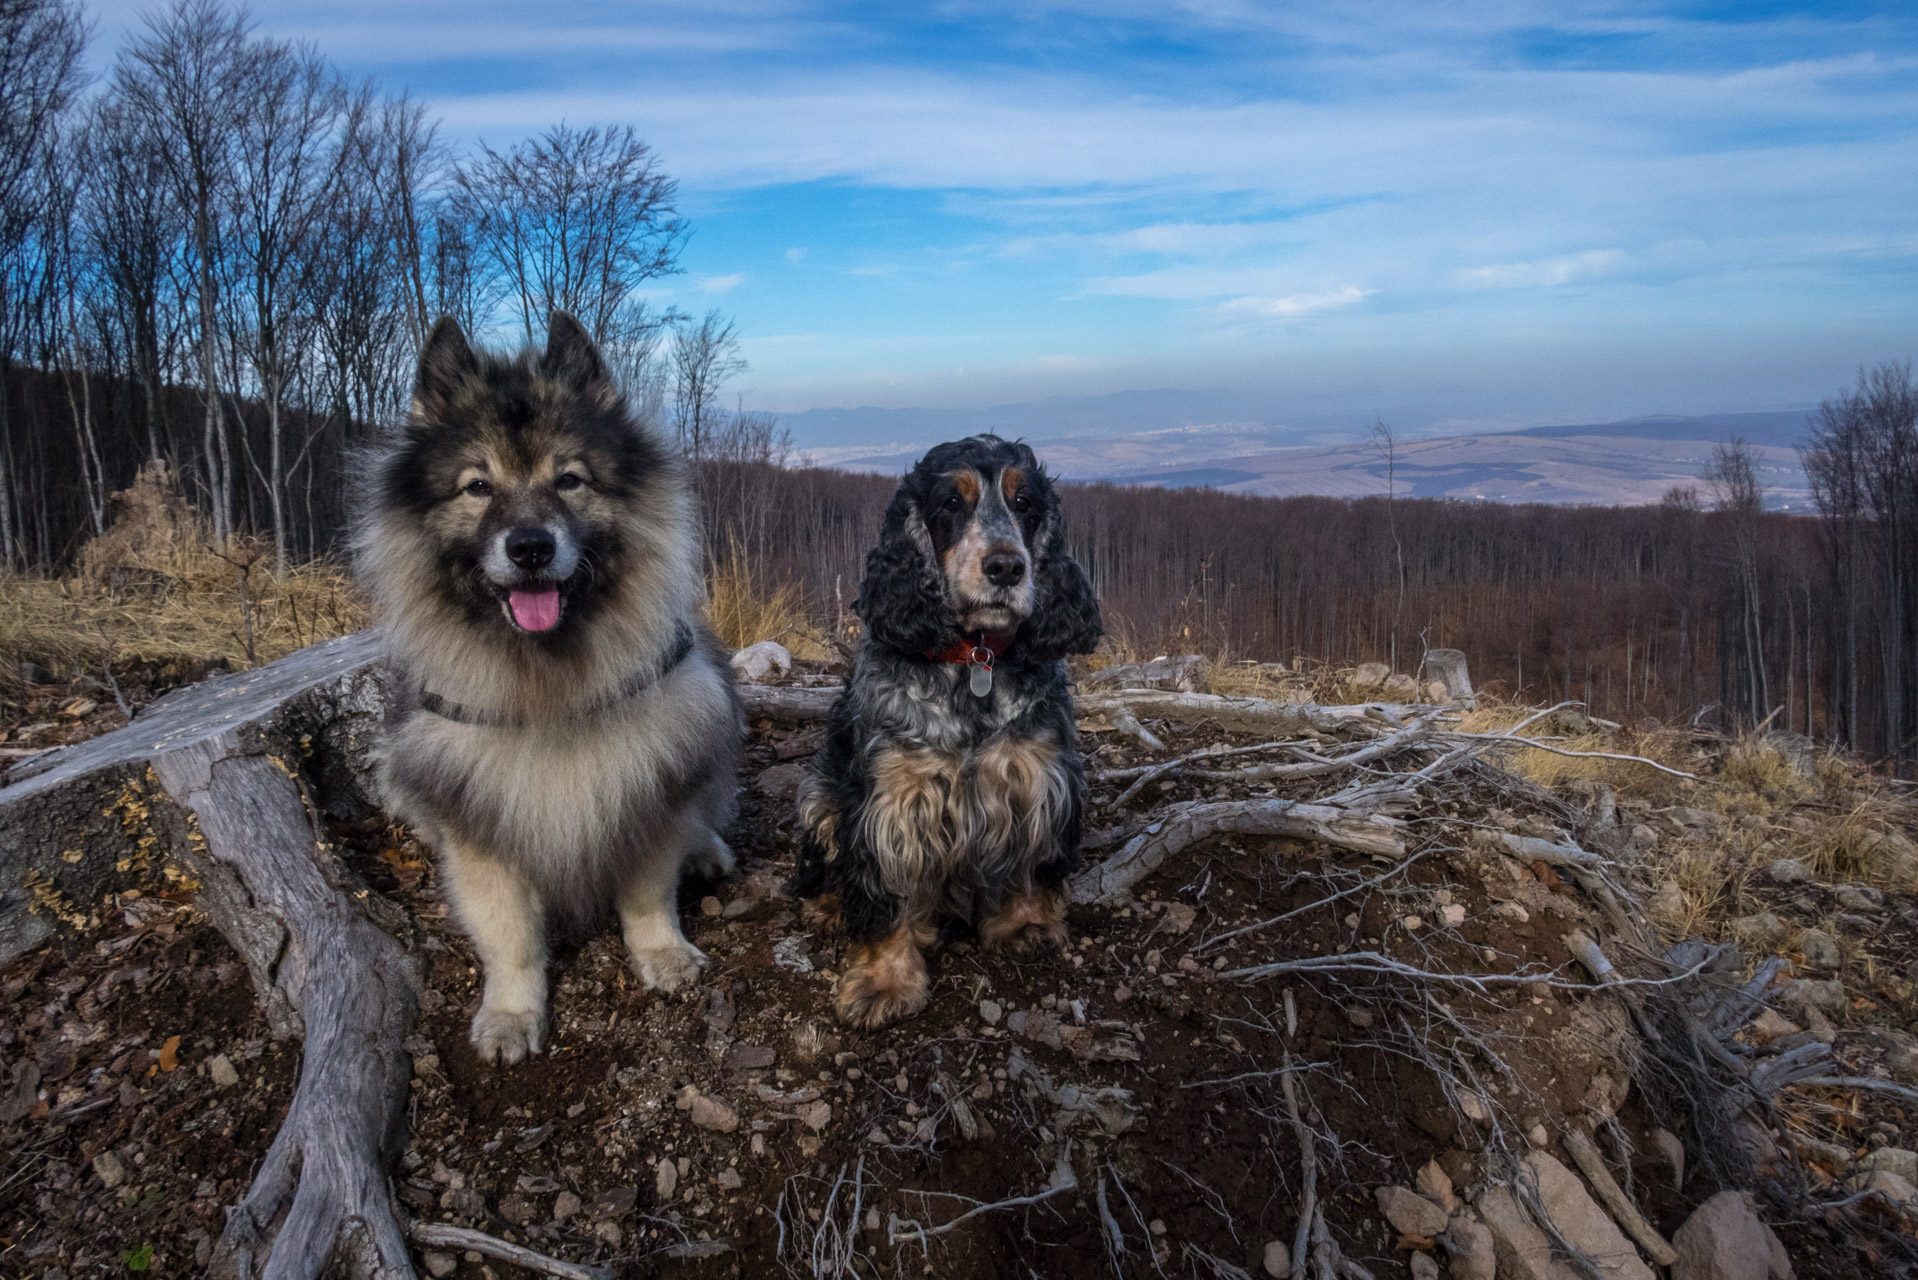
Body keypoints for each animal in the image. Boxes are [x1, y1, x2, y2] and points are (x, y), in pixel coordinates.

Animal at [356, 314, 736, 1066]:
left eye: (569, 481)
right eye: (477, 487)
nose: (529, 547)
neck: (548, 684)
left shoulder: (646, 781)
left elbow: (648, 891)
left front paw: (663, 953)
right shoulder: (478, 822)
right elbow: (510, 936)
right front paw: (510, 1014)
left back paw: (706, 850)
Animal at [786, 435, 1104, 1028]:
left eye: (1025, 504)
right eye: (951, 504)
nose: (1007, 567)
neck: (973, 659)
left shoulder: (1035, 775)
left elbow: (1029, 863)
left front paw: (1023, 924)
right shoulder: (890, 799)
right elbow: (883, 893)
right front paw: (885, 982)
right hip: (819, 796)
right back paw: (830, 906)